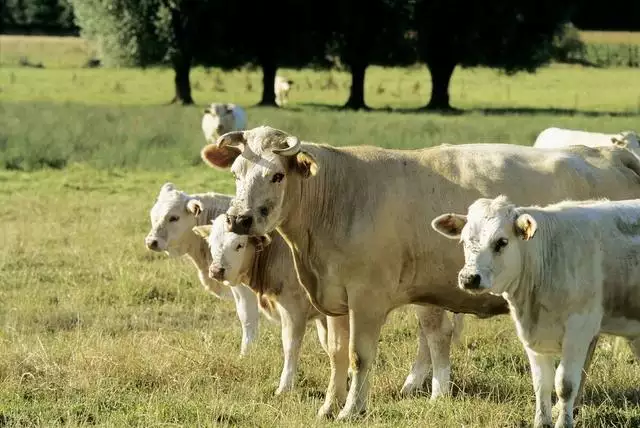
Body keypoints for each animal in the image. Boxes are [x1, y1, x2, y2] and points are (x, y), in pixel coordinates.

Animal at [432, 196, 640, 428]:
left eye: (501, 242)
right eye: (464, 241)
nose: (469, 278)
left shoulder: (579, 330)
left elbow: (565, 385)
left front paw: (563, 423)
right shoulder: (533, 337)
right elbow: (541, 384)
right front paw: (541, 422)